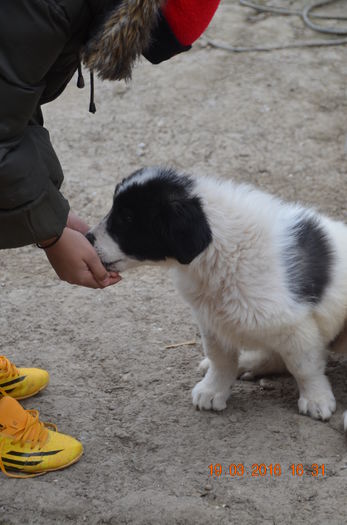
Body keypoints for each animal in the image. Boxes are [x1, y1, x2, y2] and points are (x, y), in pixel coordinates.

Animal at [85, 166, 347, 424]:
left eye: (127, 218)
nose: (87, 238)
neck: (221, 247)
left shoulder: (295, 326)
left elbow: (304, 367)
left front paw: (316, 398)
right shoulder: (212, 319)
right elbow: (220, 359)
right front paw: (213, 389)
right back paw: (248, 364)